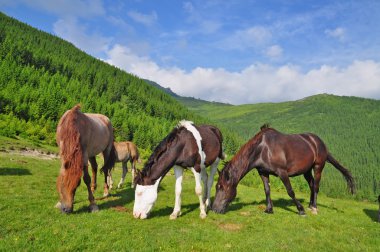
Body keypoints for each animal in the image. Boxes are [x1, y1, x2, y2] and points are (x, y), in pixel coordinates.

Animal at [212, 125, 354, 216]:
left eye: (221, 187)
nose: (214, 209)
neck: (263, 149)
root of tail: (319, 142)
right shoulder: (263, 172)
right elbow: (267, 190)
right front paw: (269, 209)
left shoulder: (282, 172)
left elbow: (290, 191)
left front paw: (300, 210)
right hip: (306, 171)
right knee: (312, 184)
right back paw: (310, 205)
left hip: (318, 167)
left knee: (316, 186)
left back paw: (314, 207)